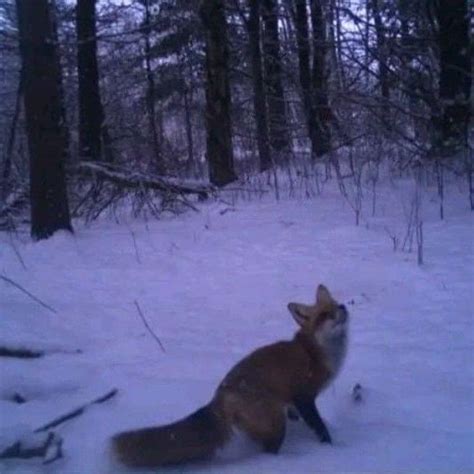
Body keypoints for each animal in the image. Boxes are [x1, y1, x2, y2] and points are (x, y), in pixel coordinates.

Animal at [111, 286, 348, 466]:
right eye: (324, 315)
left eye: (336, 304)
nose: (343, 307)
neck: (315, 351)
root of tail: (219, 395)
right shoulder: (304, 396)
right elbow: (320, 428)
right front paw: (329, 447)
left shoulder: (292, 402)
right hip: (276, 426)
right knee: (268, 452)